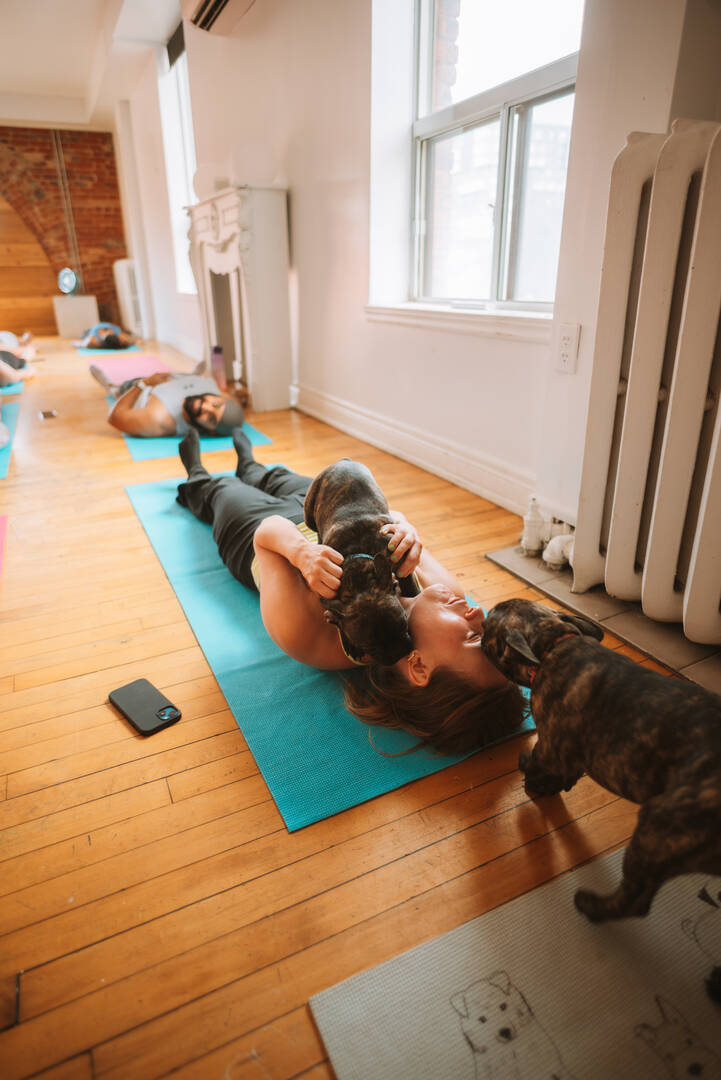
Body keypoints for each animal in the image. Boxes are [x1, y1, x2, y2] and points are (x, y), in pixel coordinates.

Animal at [304, 457, 414, 665]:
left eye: (404, 625)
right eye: (370, 647)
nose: (398, 655)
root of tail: (343, 461)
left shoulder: (400, 557)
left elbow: (410, 584)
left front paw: (416, 594)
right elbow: (338, 617)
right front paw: (348, 642)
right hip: (309, 515)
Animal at [479, 600, 721, 972]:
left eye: (488, 625)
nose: (477, 629)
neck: (552, 644)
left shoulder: (550, 744)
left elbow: (537, 759)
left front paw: (533, 779)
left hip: (657, 829)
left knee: (636, 900)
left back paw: (590, 905)